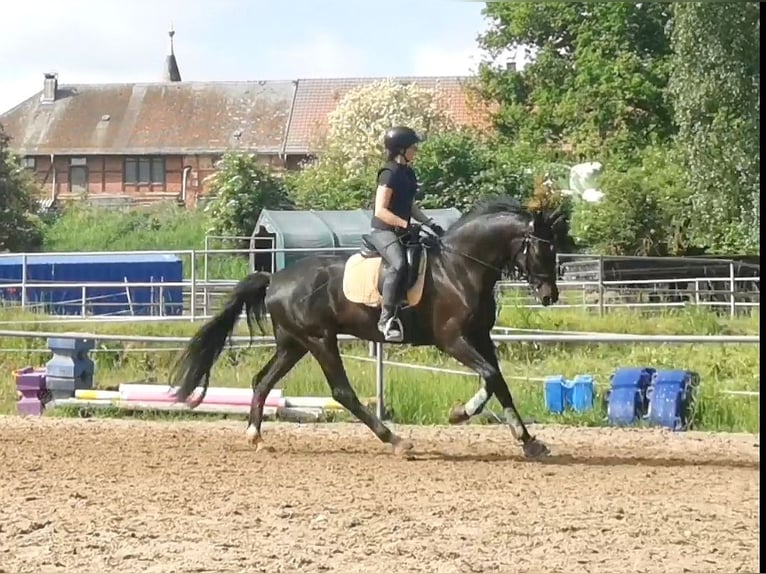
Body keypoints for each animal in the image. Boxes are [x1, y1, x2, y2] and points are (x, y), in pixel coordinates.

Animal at [170, 196, 570, 458]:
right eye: (542, 250)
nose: (550, 295)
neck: (461, 268)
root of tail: (275, 278)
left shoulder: (480, 337)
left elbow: (498, 380)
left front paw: (529, 441)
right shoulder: (452, 339)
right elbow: (488, 375)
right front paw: (460, 413)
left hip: (293, 343)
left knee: (262, 381)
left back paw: (255, 436)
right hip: (320, 339)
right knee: (342, 391)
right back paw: (396, 441)